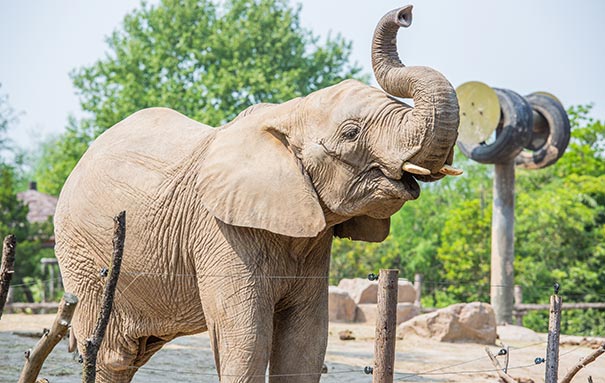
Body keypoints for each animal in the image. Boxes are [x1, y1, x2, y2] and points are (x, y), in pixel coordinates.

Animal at [56, 4, 460, 382]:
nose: (405, 13)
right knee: (110, 352)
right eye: (351, 133)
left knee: (131, 351)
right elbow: (247, 340)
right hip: (84, 259)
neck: (288, 112)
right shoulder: (220, 230)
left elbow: (306, 342)